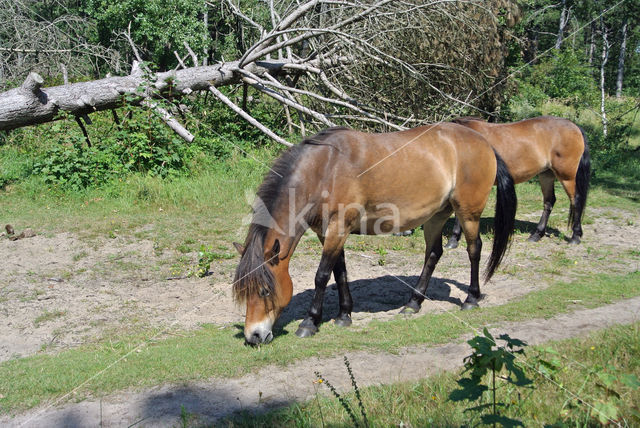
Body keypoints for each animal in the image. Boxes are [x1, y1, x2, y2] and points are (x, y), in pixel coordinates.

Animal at [232, 123, 516, 344]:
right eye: (244, 292)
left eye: (265, 291)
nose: (253, 336)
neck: (325, 170)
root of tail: (484, 142)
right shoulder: (329, 233)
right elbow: (339, 272)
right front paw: (344, 315)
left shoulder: (338, 228)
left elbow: (322, 275)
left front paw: (309, 322)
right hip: (436, 215)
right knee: (433, 254)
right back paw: (413, 303)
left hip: (468, 214)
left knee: (474, 249)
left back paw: (471, 298)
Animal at [444, 115, 592, 247]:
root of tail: (575, 127)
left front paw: (453, 240)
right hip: (546, 175)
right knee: (549, 202)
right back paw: (536, 235)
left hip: (567, 176)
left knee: (576, 200)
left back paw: (575, 237)